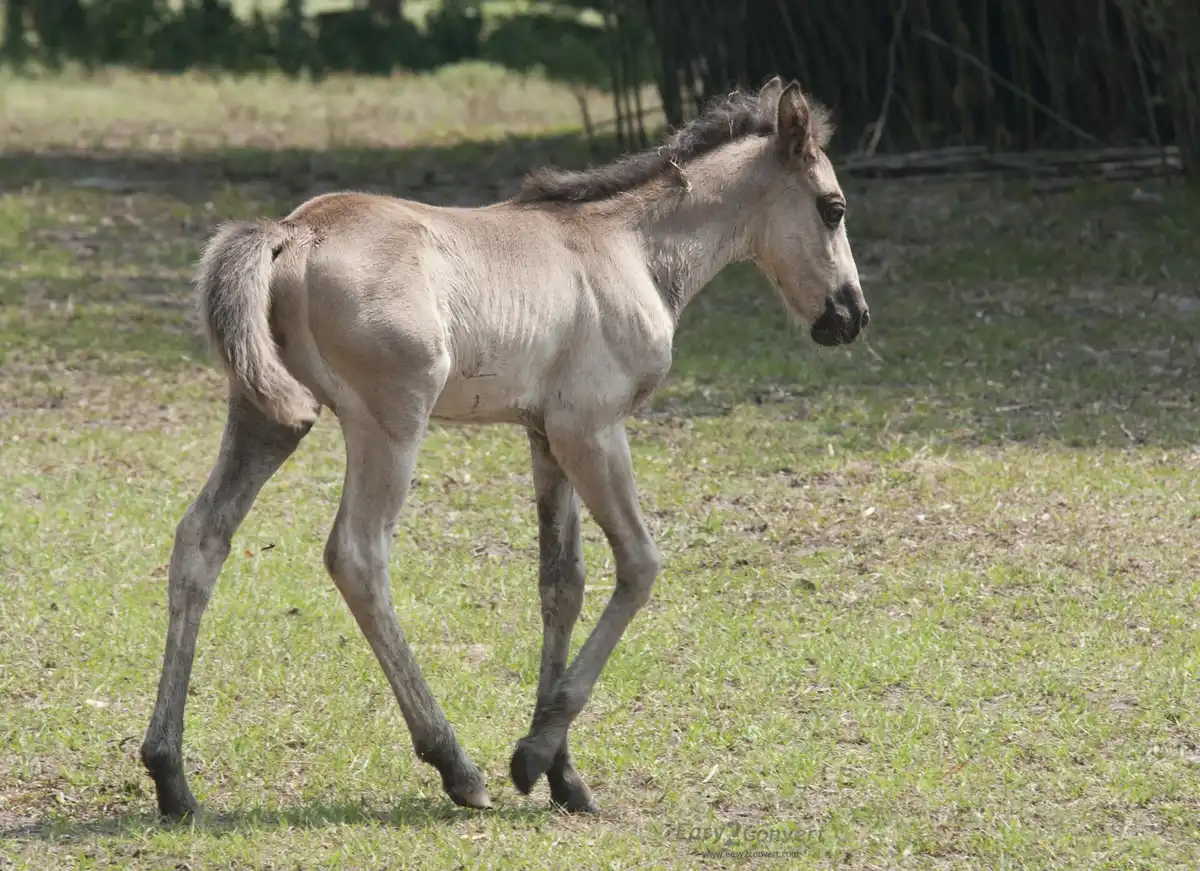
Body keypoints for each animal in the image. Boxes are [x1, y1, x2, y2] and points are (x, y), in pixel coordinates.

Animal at [140, 75, 868, 818]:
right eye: (832, 207)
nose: (851, 315)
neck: (628, 247)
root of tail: (293, 232)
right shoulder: (592, 427)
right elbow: (638, 564)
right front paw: (533, 755)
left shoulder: (545, 434)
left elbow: (562, 582)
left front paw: (566, 775)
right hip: (389, 421)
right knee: (358, 555)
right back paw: (454, 764)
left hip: (267, 416)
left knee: (201, 537)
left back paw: (171, 776)